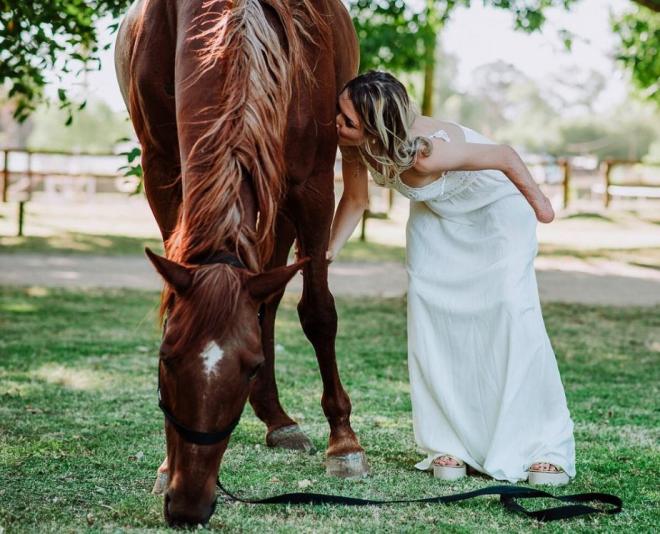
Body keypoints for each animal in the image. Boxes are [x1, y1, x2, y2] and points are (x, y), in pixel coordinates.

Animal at [116, 0, 368, 528]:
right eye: (165, 359)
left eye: (250, 367)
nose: (188, 505)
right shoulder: (162, 170)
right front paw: (165, 464)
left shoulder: (312, 183)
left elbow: (318, 312)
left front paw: (344, 442)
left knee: (270, 301)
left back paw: (284, 423)